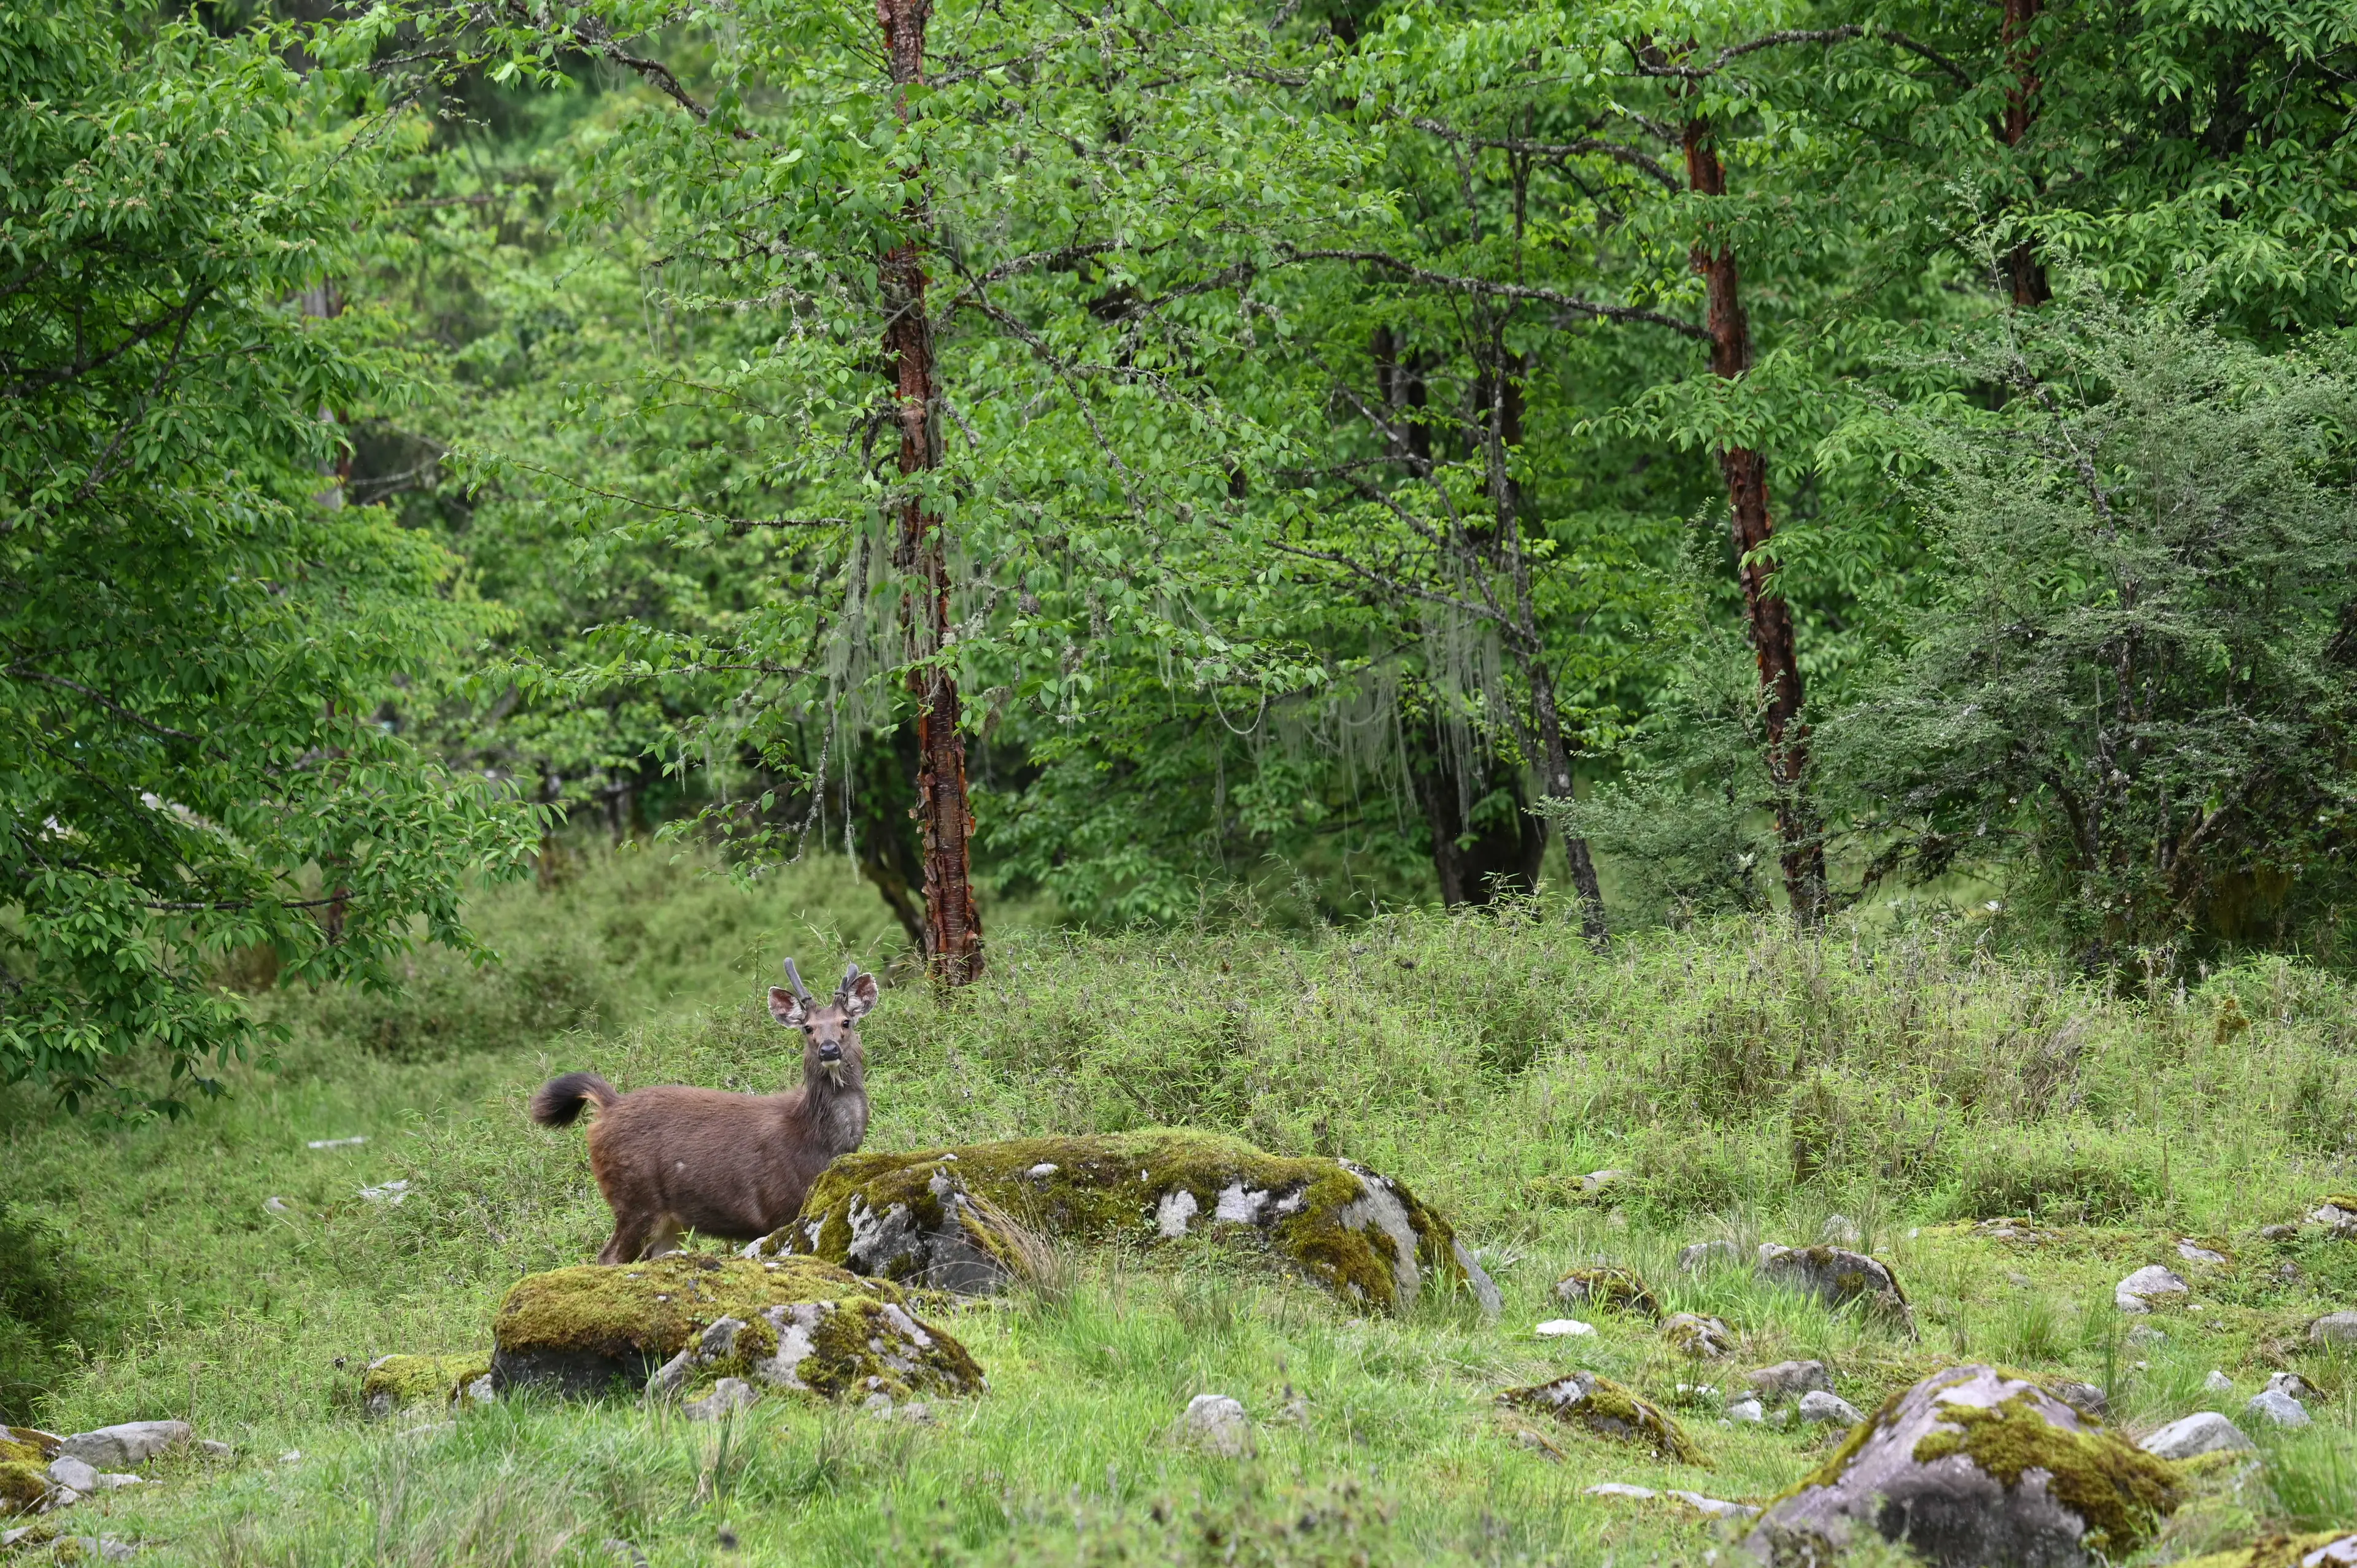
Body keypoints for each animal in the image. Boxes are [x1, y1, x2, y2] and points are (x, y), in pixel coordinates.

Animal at [528, 959, 878, 1264]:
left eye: (846, 1022)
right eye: (807, 1028)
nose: (829, 1049)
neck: (816, 1141)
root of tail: (609, 1106)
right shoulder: (778, 1208)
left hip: (671, 1219)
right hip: (635, 1198)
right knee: (609, 1257)